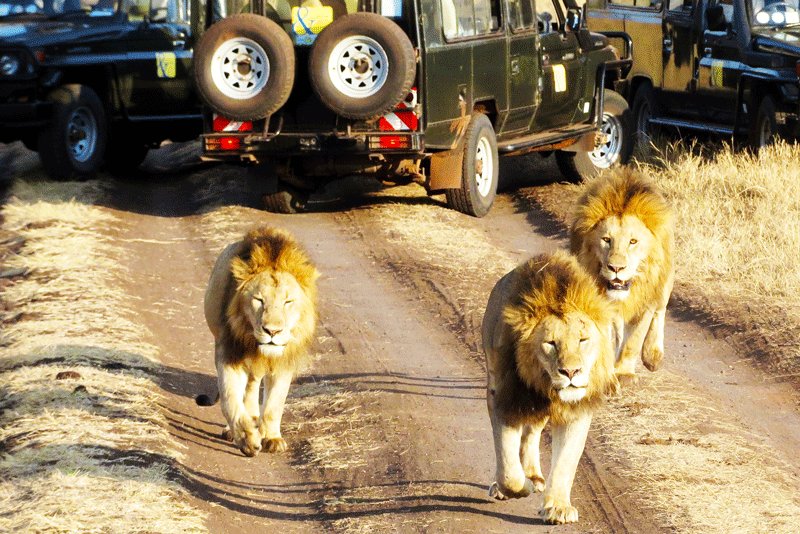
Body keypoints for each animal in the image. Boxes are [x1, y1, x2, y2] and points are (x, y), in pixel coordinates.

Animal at [198, 225, 320, 456]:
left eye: (288, 302)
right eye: (259, 300)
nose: (272, 331)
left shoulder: (284, 362)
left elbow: (274, 404)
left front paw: (272, 438)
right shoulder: (229, 353)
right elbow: (230, 399)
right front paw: (247, 439)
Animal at [482, 251, 620, 528]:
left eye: (583, 340)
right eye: (551, 343)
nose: (571, 372)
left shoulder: (577, 411)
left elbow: (566, 460)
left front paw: (558, 507)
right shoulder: (505, 399)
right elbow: (508, 469)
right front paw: (518, 486)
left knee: (532, 432)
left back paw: (535, 475)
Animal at [568, 168, 676, 382]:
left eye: (632, 242)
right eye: (606, 240)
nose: (615, 268)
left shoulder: (645, 302)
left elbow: (633, 340)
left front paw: (624, 372)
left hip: (664, 282)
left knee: (660, 310)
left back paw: (653, 355)